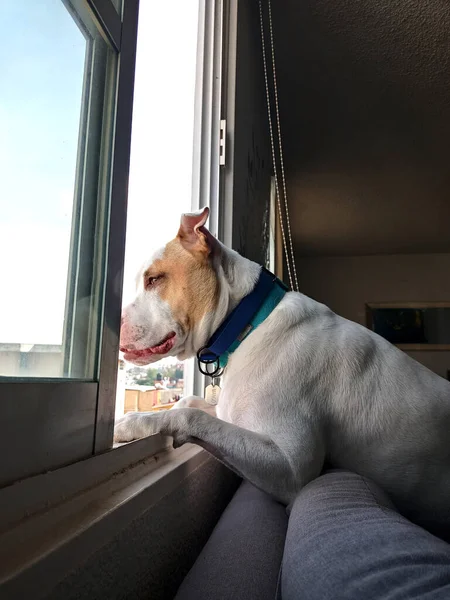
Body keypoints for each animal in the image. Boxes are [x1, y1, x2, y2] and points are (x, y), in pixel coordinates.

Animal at [115, 207, 450, 540]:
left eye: (154, 279)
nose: (113, 324)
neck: (246, 325)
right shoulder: (231, 416)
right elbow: (191, 405)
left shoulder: (291, 468)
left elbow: (191, 416)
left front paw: (136, 422)